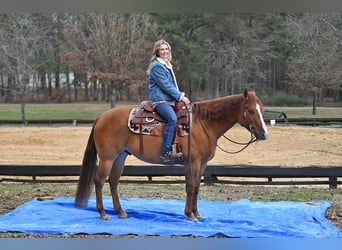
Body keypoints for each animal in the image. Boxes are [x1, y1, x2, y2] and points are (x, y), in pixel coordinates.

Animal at [74, 89, 268, 221]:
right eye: (251, 110)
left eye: (262, 109)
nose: (264, 134)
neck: (203, 124)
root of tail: (101, 117)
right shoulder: (193, 162)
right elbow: (190, 186)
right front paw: (189, 215)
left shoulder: (202, 163)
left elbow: (196, 187)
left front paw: (197, 213)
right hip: (107, 157)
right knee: (99, 181)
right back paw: (103, 213)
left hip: (120, 156)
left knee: (113, 181)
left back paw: (121, 212)